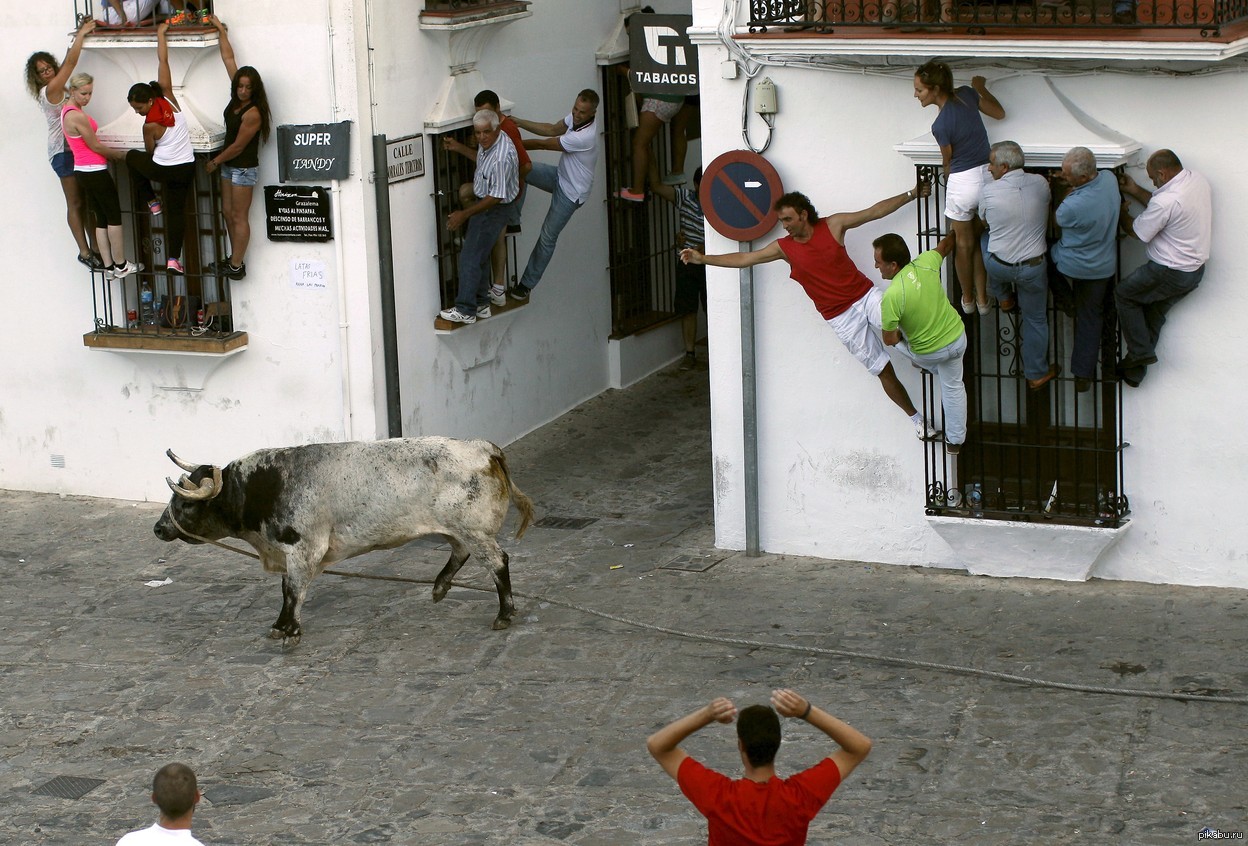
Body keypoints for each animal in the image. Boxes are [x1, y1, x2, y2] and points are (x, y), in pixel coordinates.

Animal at [152, 441, 531, 643]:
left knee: (497, 563)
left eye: (186, 503)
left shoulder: (304, 548)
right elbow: (289, 589)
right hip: (459, 530)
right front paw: (284, 625)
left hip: (474, 531)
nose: (158, 529)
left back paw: (504, 614)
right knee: (461, 553)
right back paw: (439, 587)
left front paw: (288, 629)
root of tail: (486, 449)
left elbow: (294, 590)